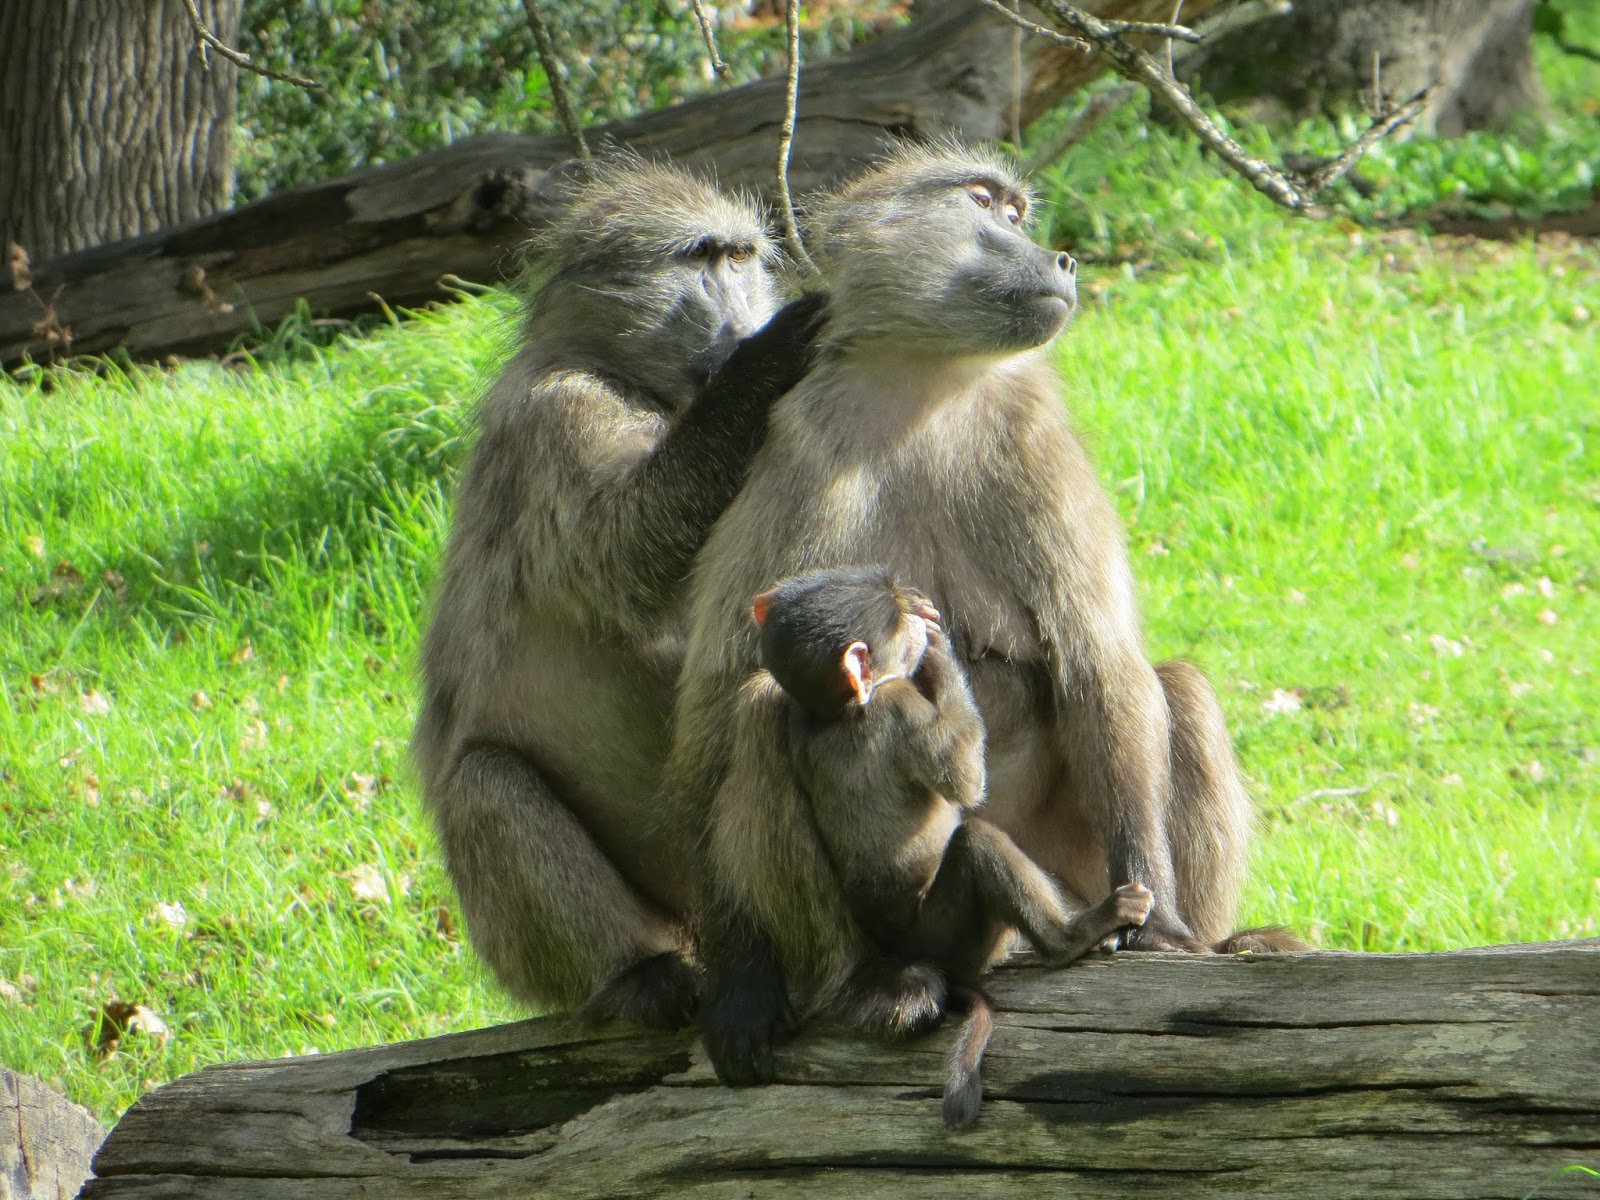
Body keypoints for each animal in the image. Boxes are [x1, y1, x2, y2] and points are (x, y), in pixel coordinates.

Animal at [411, 155, 828, 1030]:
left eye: (741, 258)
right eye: (701, 258)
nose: (741, 318)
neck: (621, 371)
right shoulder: (559, 416)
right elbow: (623, 551)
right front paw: (768, 362)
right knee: (482, 787)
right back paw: (642, 977)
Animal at [749, 566, 1155, 1126]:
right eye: (897, 620)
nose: (917, 608)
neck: (841, 711)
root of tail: (909, 953)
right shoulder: (900, 707)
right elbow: (963, 777)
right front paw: (939, 649)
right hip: (949, 935)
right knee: (977, 843)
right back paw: (1074, 935)